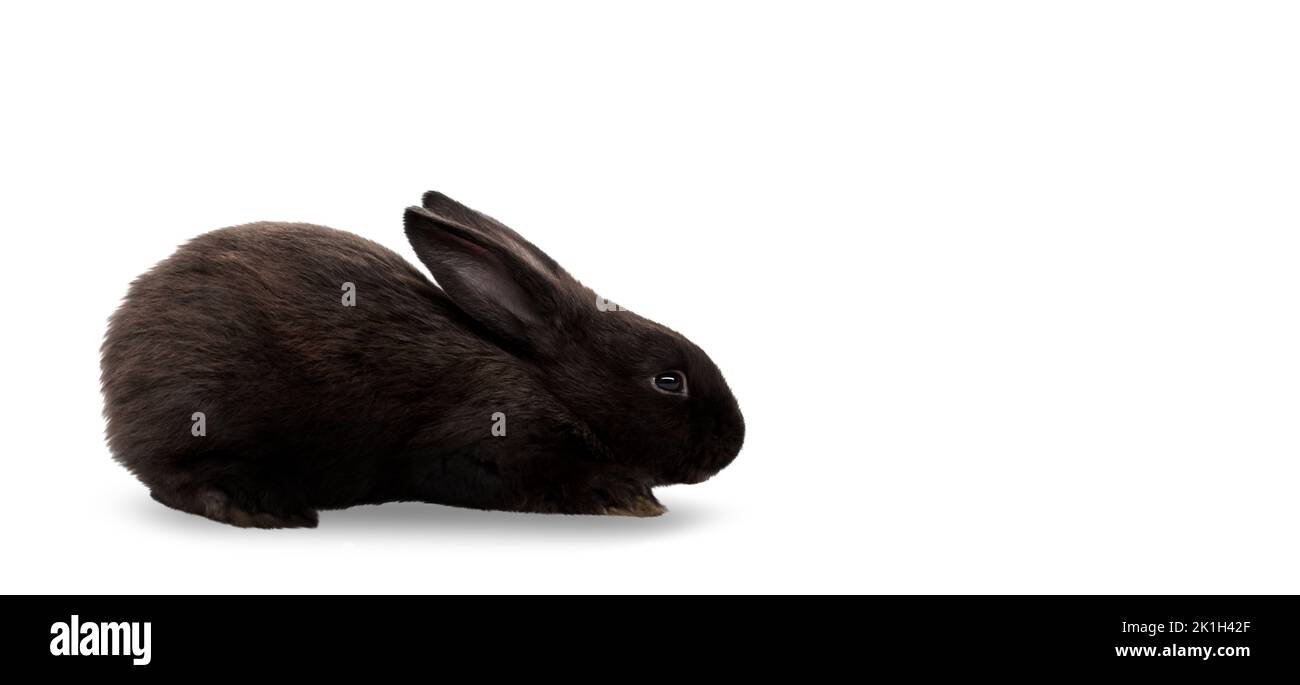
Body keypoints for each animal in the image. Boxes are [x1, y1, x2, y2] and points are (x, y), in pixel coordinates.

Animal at [100, 191, 745, 528]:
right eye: (668, 380)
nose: (734, 443)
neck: (549, 385)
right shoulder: (482, 445)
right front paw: (627, 496)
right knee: (174, 479)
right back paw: (260, 505)